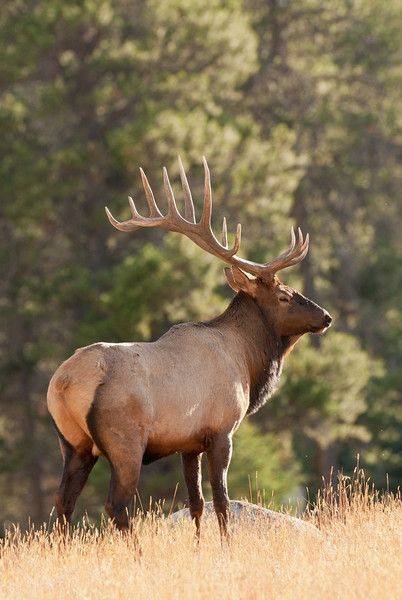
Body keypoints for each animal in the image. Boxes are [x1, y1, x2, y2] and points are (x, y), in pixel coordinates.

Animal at [47, 155, 332, 540]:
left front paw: (199, 545)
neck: (247, 361)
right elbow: (222, 501)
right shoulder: (222, 430)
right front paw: (226, 545)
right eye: (285, 295)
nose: (325, 317)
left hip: (72, 443)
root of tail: (63, 384)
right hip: (124, 440)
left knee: (64, 502)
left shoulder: (187, 443)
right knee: (116, 505)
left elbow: (196, 503)